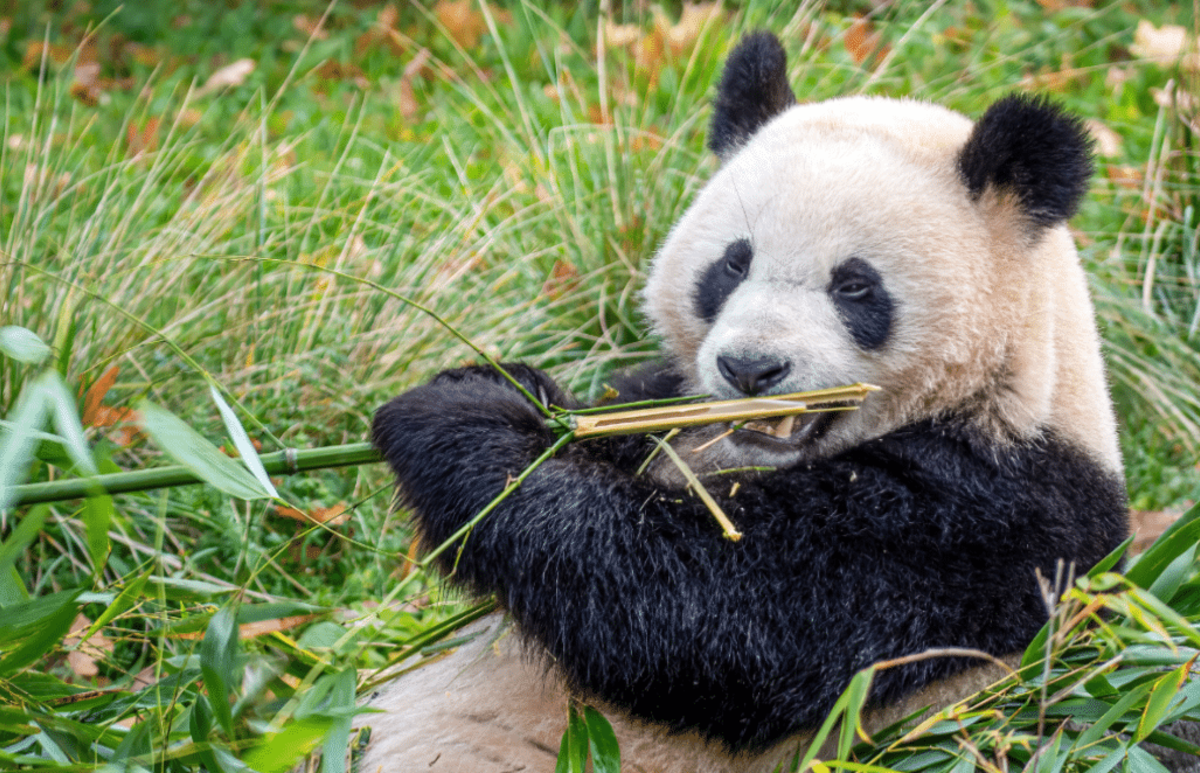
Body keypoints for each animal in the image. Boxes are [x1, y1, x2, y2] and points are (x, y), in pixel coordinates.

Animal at [363, 31, 1129, 773]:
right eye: (733, 262)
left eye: (855, 285)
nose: (749, 367)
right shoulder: (666, 410)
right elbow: (616, 428)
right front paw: (502, 388)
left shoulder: (991, 522)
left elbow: (714, 617)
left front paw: (457, 428)